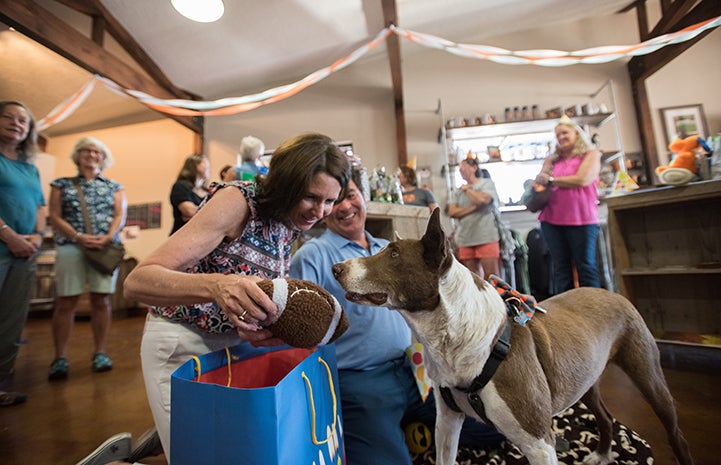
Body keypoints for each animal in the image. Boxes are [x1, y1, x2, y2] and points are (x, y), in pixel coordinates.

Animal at [332, 208, 692, 462]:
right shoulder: (447, 421)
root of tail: (610, 292)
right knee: (605, 418)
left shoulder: (539, 443)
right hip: (584, 378)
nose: (336, 269)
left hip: (647, 374)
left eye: (393, 254)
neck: (454, 337)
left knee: (676, 433)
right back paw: (602, 455)